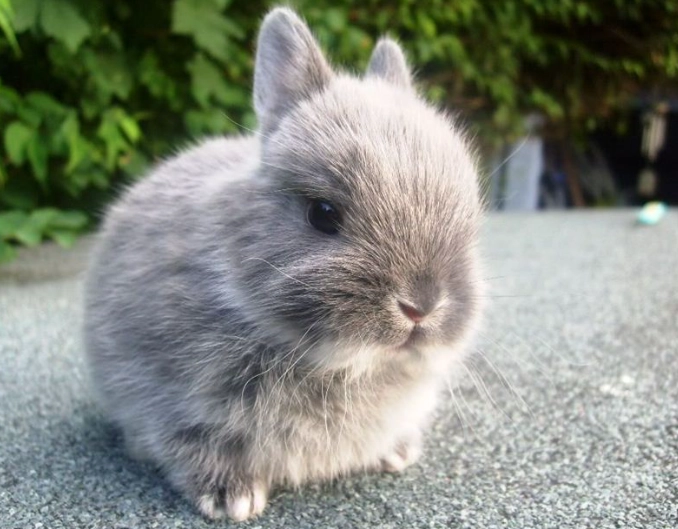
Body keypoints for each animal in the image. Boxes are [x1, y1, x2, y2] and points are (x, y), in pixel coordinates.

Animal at [83, 6, 485, 522]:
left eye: (469, 217)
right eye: (323, 214)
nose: (421, 306)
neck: (342, 364)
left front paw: (398, 453)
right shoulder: (171, 400)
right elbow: (189, 443)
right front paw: (231, 498)